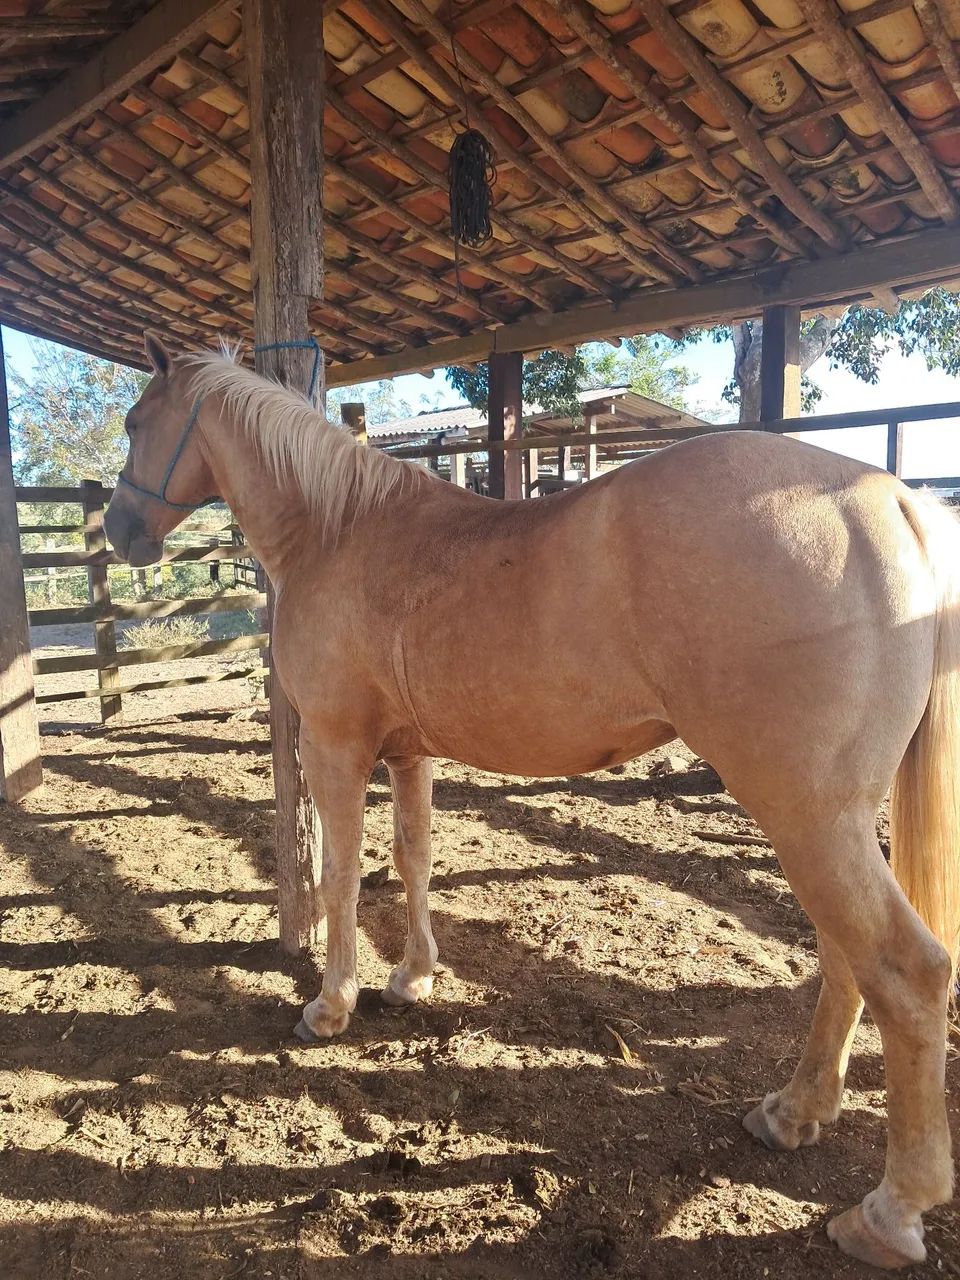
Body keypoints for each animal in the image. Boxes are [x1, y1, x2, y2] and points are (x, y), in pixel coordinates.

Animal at [103, 332, 960, 1270]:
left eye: (136, 421)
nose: (116, 530)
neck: (337, 530)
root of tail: (891, 501)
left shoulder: (334, 747)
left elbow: (340, 876)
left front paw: (330, 1006)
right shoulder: (407, 754)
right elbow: (413, 858)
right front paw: (413, 977)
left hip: (805, 814)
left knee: (906, 972)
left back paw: (889, 1210)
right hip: (829, 817)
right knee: (846, 957)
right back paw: (796, 1112)